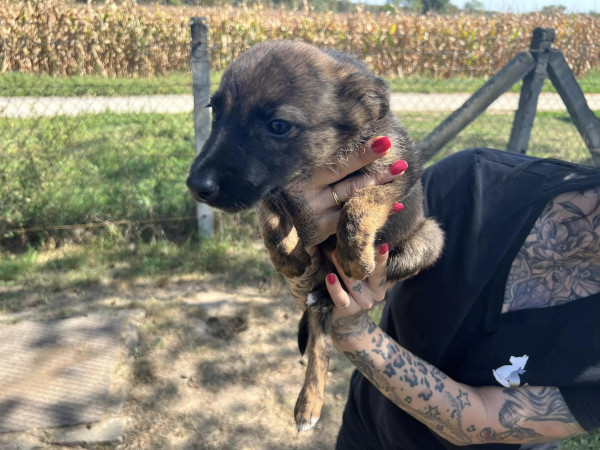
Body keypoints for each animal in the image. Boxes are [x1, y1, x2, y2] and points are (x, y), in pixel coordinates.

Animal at [187, 40, 445, 431]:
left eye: (279, 126)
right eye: (215, 111)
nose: (195, 185)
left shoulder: (400, 172)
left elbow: (360, 202)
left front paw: (356, 254)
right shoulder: (278, 188)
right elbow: (270, 211)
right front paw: (287, 254)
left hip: (430, 238)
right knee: (320, 340)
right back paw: (308, 402)